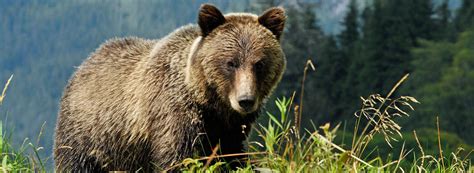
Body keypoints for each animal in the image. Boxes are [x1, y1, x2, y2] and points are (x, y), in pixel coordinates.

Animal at [54, 3, 286, 172]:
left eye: (259, 63)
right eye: (231, 63)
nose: (245, 100)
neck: (210, 104)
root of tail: (83, 65)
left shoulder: (230, 128)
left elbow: (232, 155)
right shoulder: (173, 114)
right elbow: (178, 157)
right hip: (90, 136)